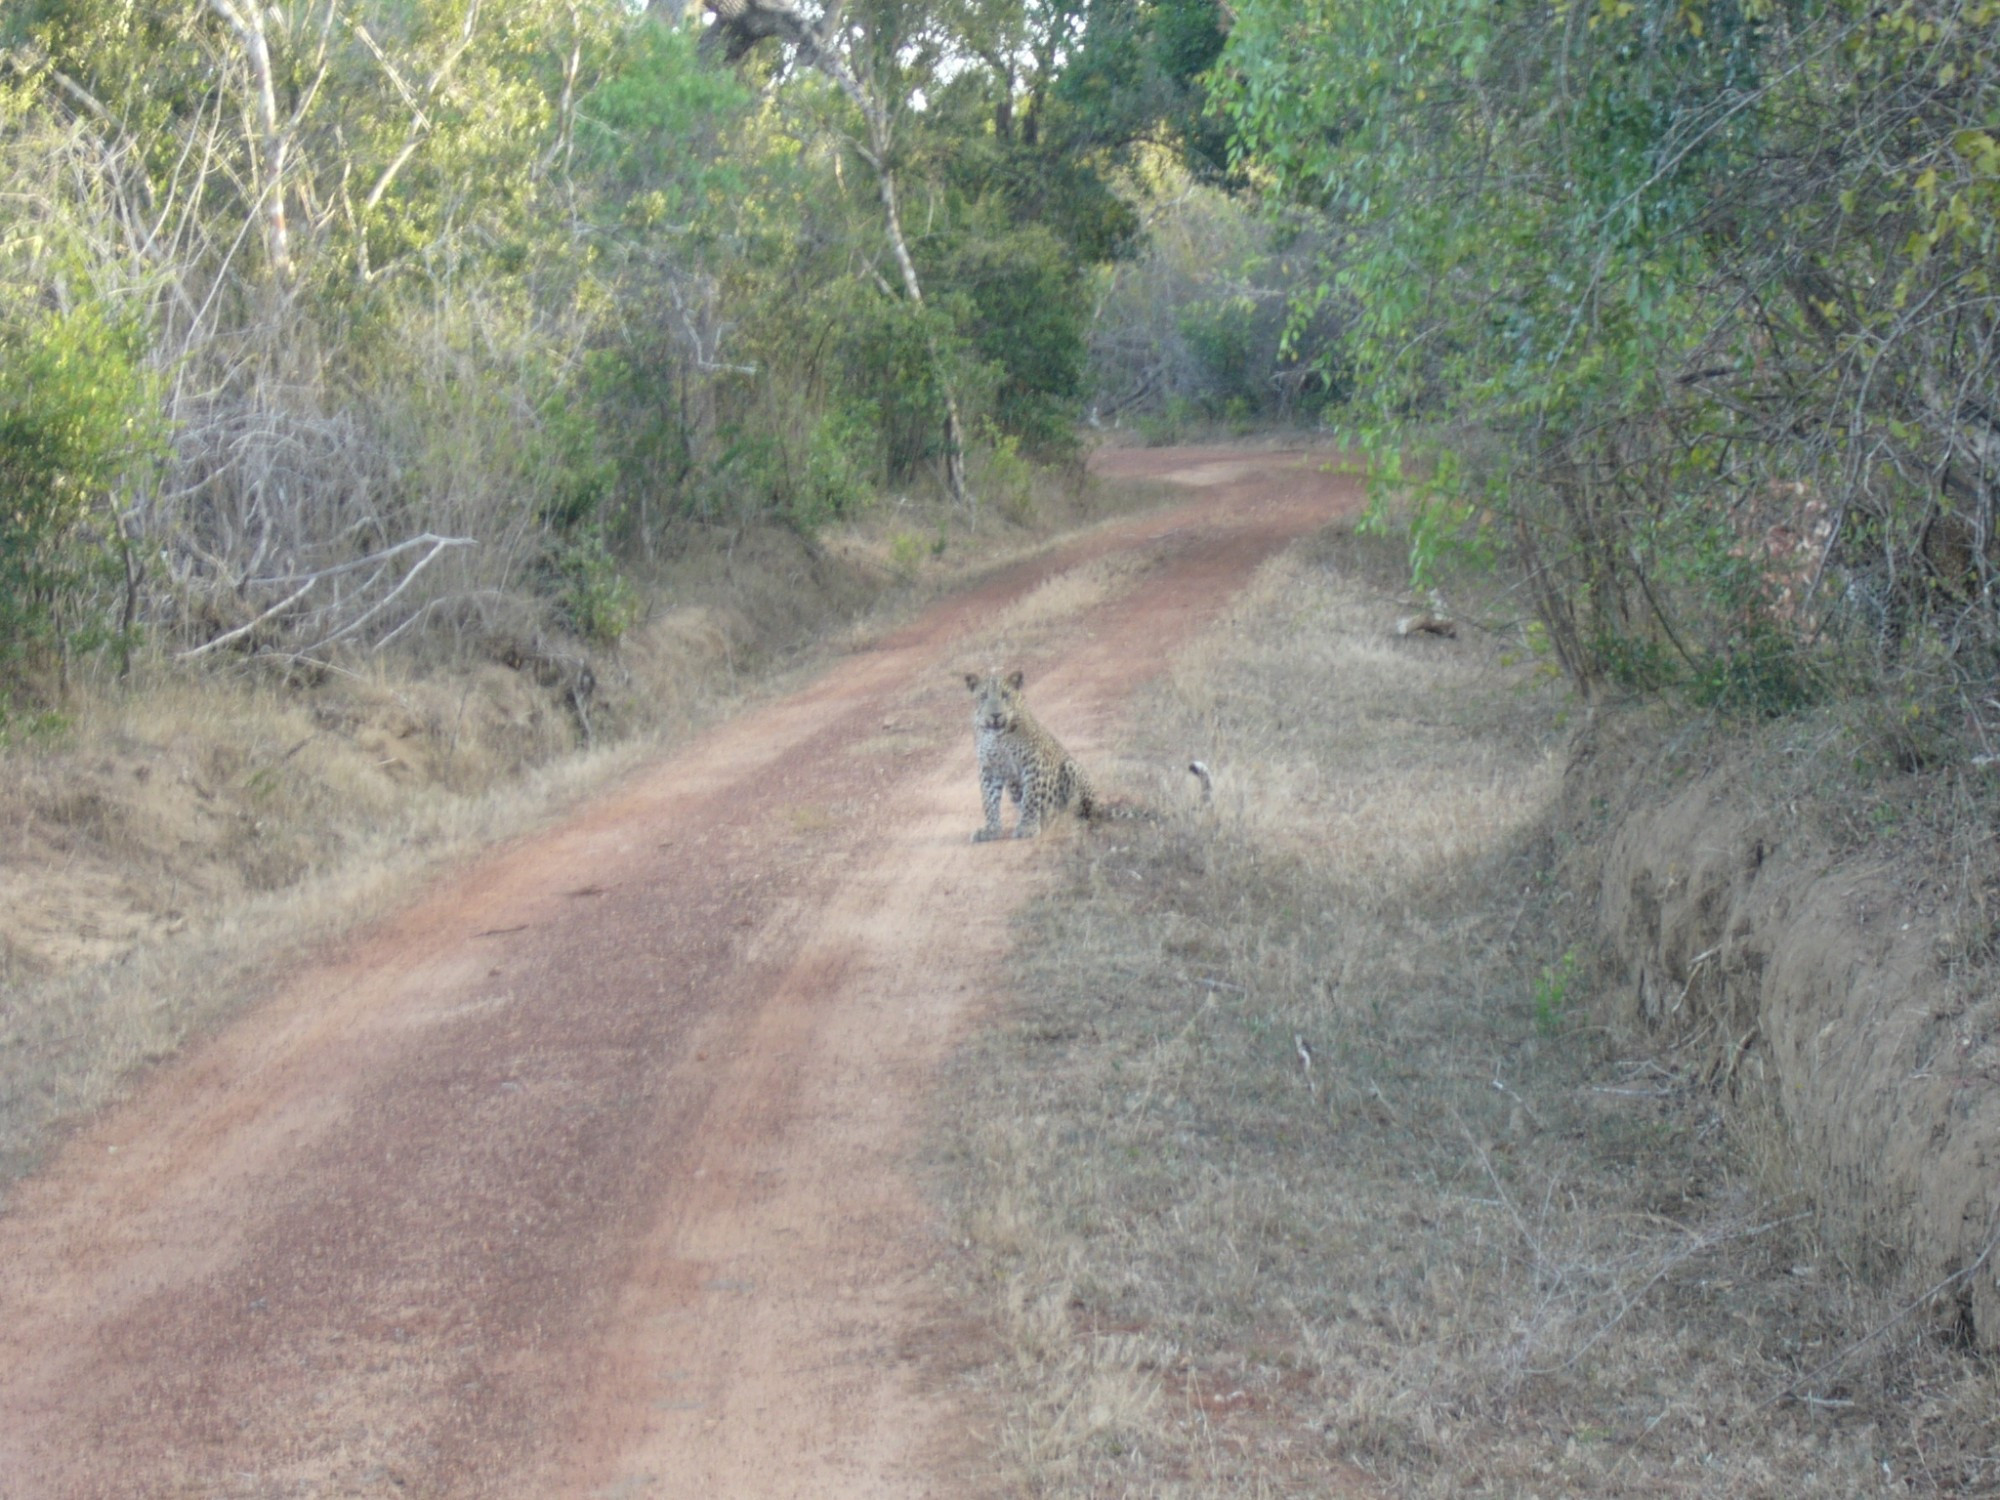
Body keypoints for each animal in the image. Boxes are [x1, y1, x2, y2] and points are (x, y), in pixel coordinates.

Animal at [964, 672, 1104, 848]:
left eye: (1005, 695)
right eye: (983, 696)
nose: (995, 715)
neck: (997, 736)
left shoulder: (1031, 761)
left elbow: (1030, 796)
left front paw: (1027, 827)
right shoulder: (989, 767)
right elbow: (989, 800)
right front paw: (991, 830)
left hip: (1071, 768)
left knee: (1083, 810)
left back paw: (1061, 818)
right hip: (1013, 784)